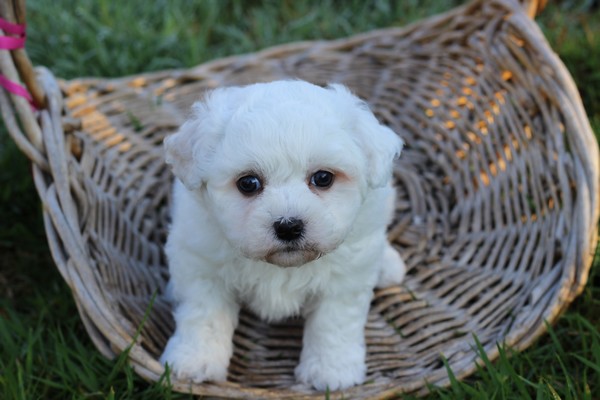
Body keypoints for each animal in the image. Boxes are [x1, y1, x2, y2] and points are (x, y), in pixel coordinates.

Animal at [160, 80, 406, 391]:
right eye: (248, 183)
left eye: (323, 178)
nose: (288, 226)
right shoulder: (202, 266)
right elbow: (203, 315)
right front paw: (195, 360)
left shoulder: (345, 279)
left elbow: (334, 322)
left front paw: (331, 371)